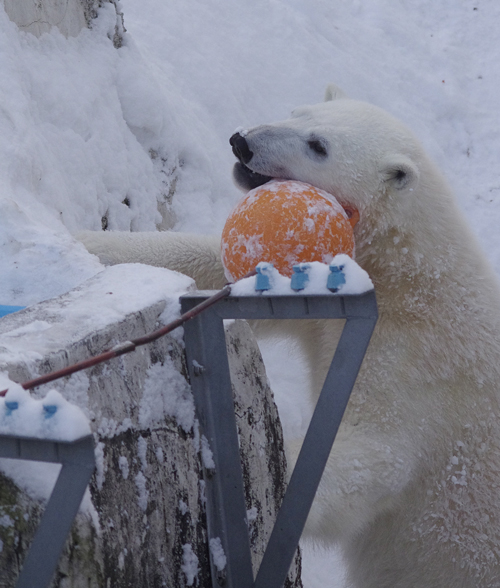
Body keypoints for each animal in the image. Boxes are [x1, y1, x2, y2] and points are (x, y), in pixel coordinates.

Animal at [75, 87, 500, 588]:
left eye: (318, 145)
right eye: (297, 112)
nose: (242, 141)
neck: (411, 275)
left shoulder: (416, 359)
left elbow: (373, 452)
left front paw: (248, 460)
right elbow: (214, 265)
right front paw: (79, 242)